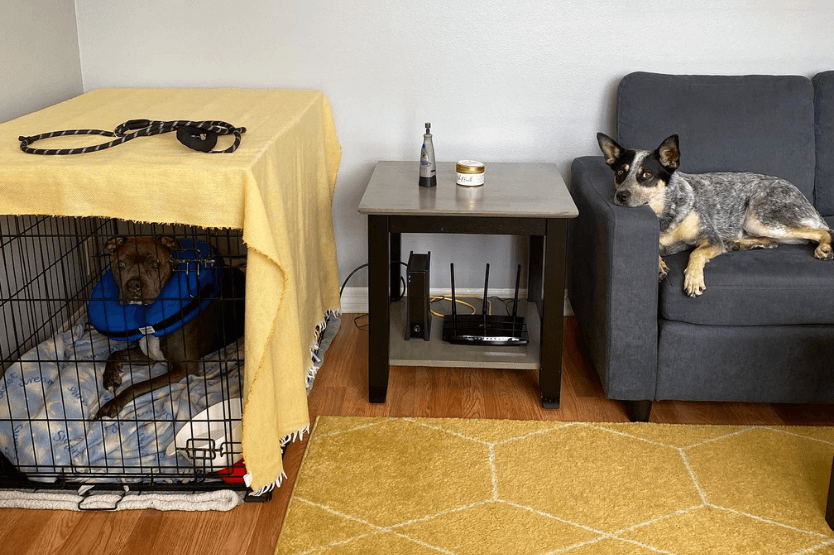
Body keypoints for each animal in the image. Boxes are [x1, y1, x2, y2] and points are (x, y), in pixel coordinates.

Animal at [88, 236, 244, 422]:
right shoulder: (149, 355)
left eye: (156, 264)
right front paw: (110, 377)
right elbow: (115, 354)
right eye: (121, 264)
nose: (134, 284)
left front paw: (113, 403)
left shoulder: (183, 369)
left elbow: (138, 385)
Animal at [596, 133, 828, 298]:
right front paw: (660, 264)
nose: (621, 195)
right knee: (772, 242)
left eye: (646, 174)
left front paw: (693, 279)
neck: (664, 216)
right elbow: (656, 250)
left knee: (824, 231)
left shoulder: (709, 237)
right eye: (620, 173)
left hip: (758, 217)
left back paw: (824, 248)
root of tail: (800, 194)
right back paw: (738, 244)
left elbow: (696, 253)